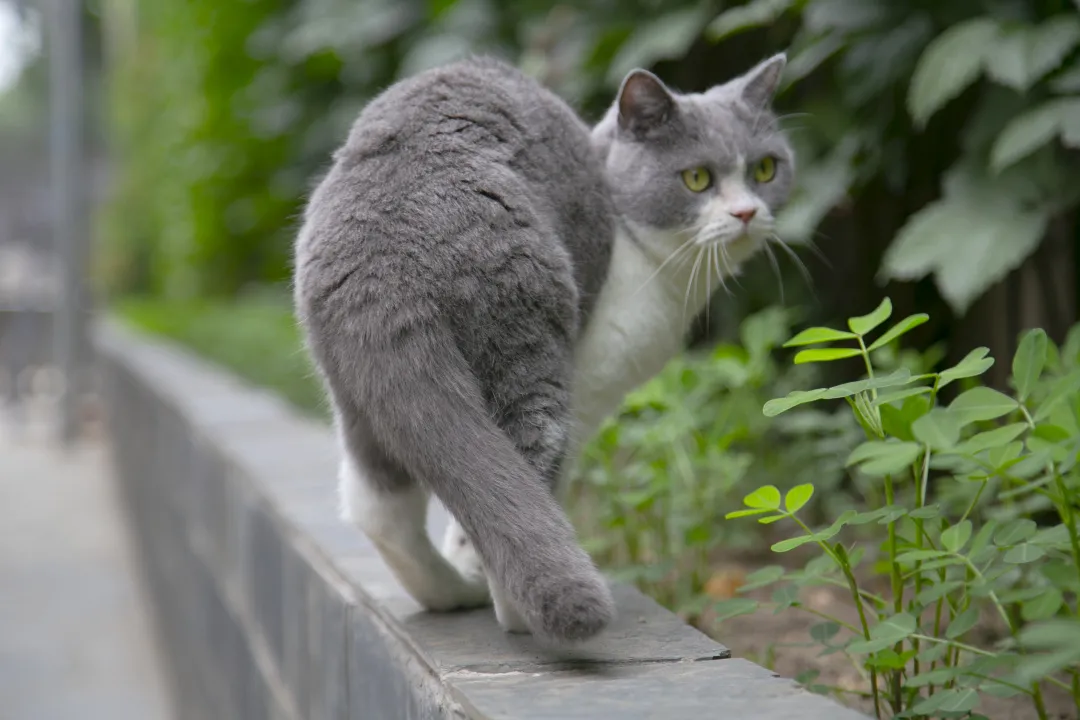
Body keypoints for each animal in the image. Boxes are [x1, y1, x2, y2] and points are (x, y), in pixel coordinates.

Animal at [293, 53, 794, 643]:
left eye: (766, 169)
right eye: (697, 178)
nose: (747, 213)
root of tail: (380, 248)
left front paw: (461, 564)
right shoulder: (591, 384)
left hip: (359, 389)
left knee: (376, 506)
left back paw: (451, 593)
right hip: (527, 345)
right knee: (523, 472)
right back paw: (519, 618)